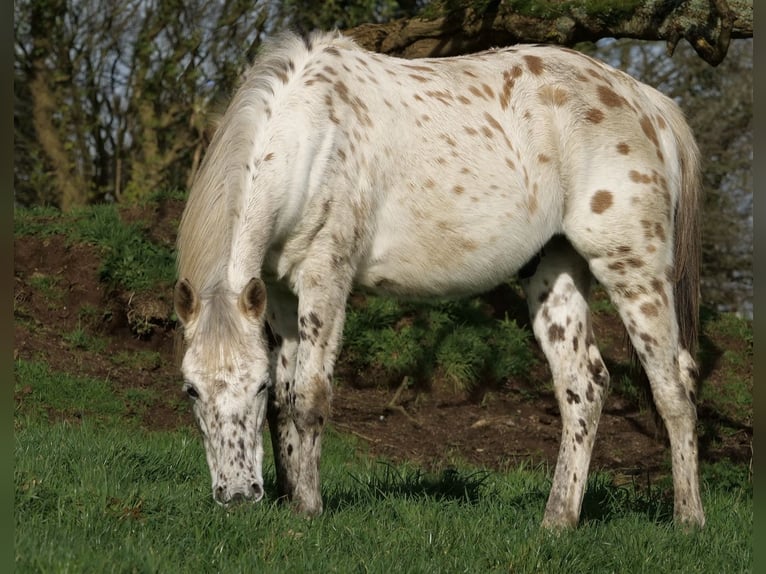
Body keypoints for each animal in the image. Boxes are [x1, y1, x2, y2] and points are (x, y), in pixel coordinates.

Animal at [174, 30, 704, 529]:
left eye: (255, 386)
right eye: (192, 390)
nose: (237, 495)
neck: (311, 141)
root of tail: (646, 103)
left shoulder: (326, 281)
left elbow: (308, 398)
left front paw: (307, 511)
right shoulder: (281, 295)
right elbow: (286, 405)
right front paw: (289, 501)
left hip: (634, 271)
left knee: (673, 388)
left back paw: (689, 519)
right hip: (556, 274)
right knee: (584, 387)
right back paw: (557, 521)